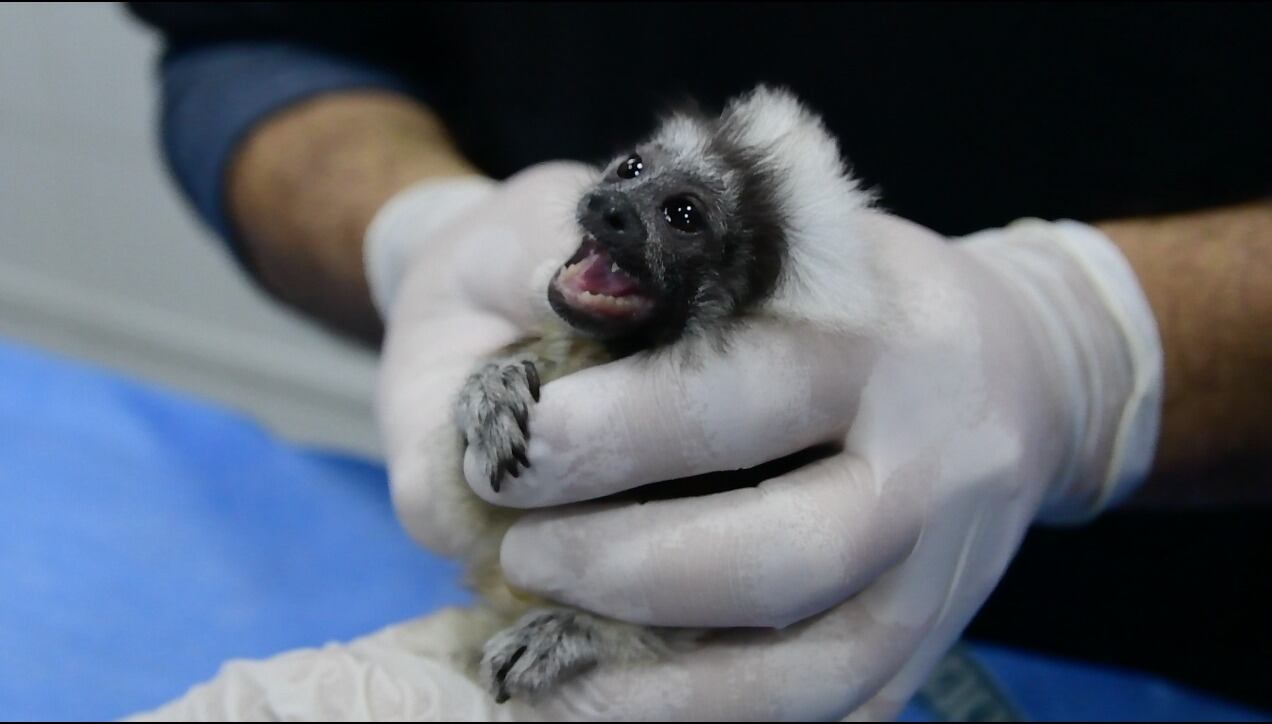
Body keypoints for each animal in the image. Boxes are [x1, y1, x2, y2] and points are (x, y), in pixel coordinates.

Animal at [434, 85, 879, 704]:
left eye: (682, 215)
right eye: (632, 169)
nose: (607, 206)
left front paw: (575, 629)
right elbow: (481, 501)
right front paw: (490, 390)